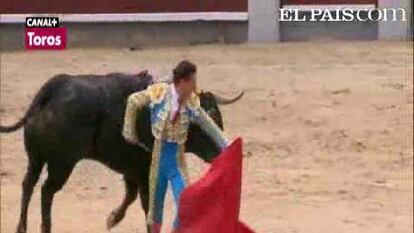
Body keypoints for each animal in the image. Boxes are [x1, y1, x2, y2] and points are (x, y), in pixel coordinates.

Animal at [0, 72, 243, 233]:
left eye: (218, 117)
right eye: (200, 123)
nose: (221, 152)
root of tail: (53, 89)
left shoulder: (131, 168)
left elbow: (130, 195)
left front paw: (112, 219)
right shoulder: (144, 171)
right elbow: (146, 204)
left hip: (36, 158)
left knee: (28, 184)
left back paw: (21, 227)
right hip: (62, 163)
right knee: (47, 190)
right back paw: (45, 227)